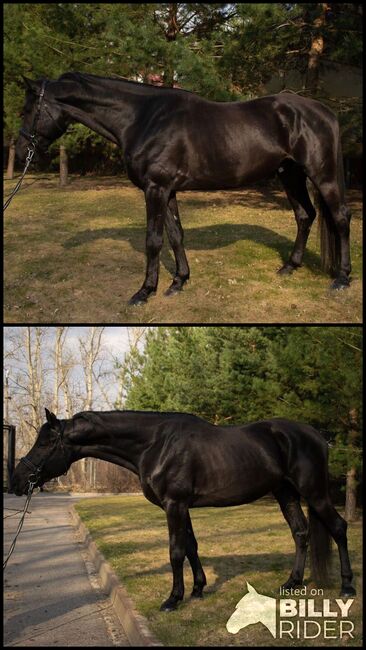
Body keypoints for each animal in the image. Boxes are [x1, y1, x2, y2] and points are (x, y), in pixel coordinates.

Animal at [11, 408, 354, 612]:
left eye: (45, 443)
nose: (16, 479)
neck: (155, 443)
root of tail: (317, 437)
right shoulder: (179, 506)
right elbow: (191, 546)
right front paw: (198, 589)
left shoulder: (174, 505)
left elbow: (175, 551)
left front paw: (173, 599)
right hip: (286, 493)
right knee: (300, 533)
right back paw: (292, 583)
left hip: (314, 492)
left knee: (338, 528)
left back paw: (347, 586)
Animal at [15, 72, 352, 306]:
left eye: (28, 109)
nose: (20, 152)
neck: (143, 118)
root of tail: (324, 112)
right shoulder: (168, 190)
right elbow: (176, 234)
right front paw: (178, 282)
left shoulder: (155, 189)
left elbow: (153, 240)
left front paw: (144, 291)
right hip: (290, 174)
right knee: (305, 215)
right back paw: (289, 267)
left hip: (321, 176)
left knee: (340, 218)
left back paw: (343, 278)